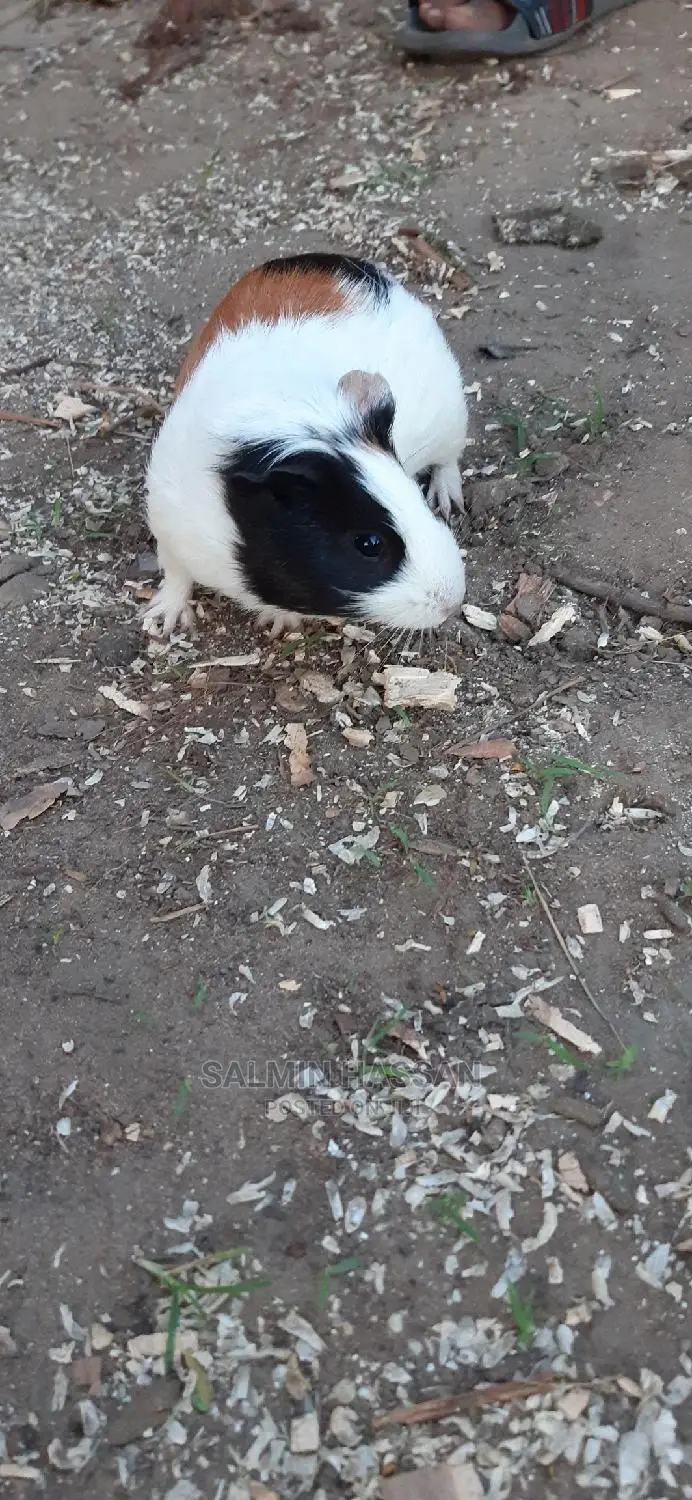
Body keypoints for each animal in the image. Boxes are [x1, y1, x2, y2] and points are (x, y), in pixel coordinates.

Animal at [144, 253, 469, 638]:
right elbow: (175, 576)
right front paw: (162, 621)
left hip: (452, 422)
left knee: (448, 463)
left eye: (417, 496)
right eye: (369, 544)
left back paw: (448, 502)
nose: (453, 601)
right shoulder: (167, 525)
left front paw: (278, 624)